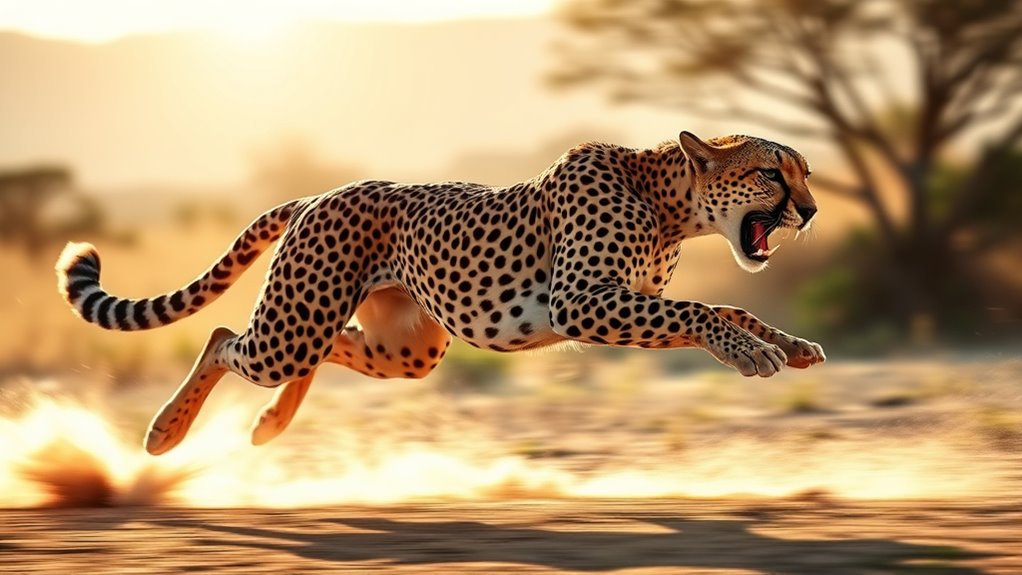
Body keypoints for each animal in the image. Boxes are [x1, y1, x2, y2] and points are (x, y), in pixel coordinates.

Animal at [56, 131, 825, 455]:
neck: (668, 201)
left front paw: (787, 344)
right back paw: (165, 430)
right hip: (293, 327)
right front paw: (753, 353)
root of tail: (319, 194)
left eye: (806, 174)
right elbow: (697, 310)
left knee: (326, 345)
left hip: (405, 348)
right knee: (223, 339)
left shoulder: (617, 299)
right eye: (772, 173)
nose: (813, 212)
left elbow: (726, 305)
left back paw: (271, 423)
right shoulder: (582, 301)